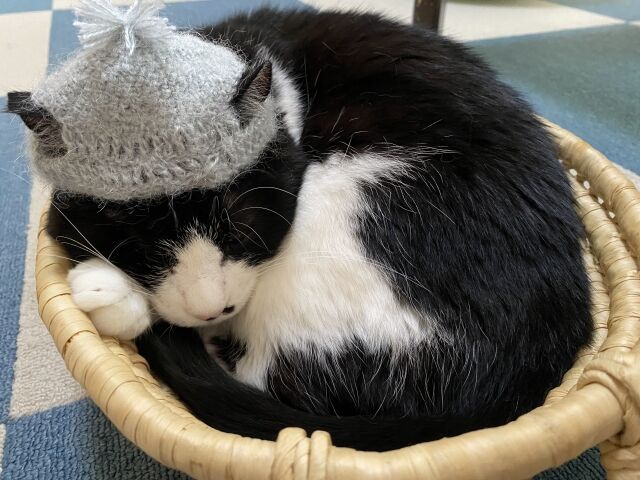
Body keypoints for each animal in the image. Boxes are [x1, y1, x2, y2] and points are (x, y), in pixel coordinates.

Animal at [9, 8, 592, 450]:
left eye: (245, 227)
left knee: (264, 375)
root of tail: (517, 375)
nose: (212, 307)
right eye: (140, 249)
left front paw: (109, 291)